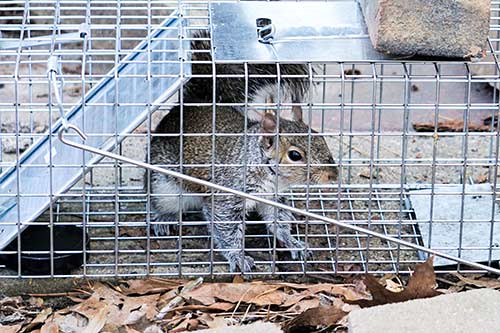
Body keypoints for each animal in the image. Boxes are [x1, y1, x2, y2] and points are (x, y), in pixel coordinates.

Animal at [146, 31, 338, 272]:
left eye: (321, 138)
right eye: (295, 155)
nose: (333, 175)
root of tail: (195, 103)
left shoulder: (273, 197)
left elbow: (278, 220)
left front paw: (293, 242)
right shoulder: (227, 195)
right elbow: (227, 228)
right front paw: (238, 257)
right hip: (163, 186)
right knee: (160, 201)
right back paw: (165, 218)